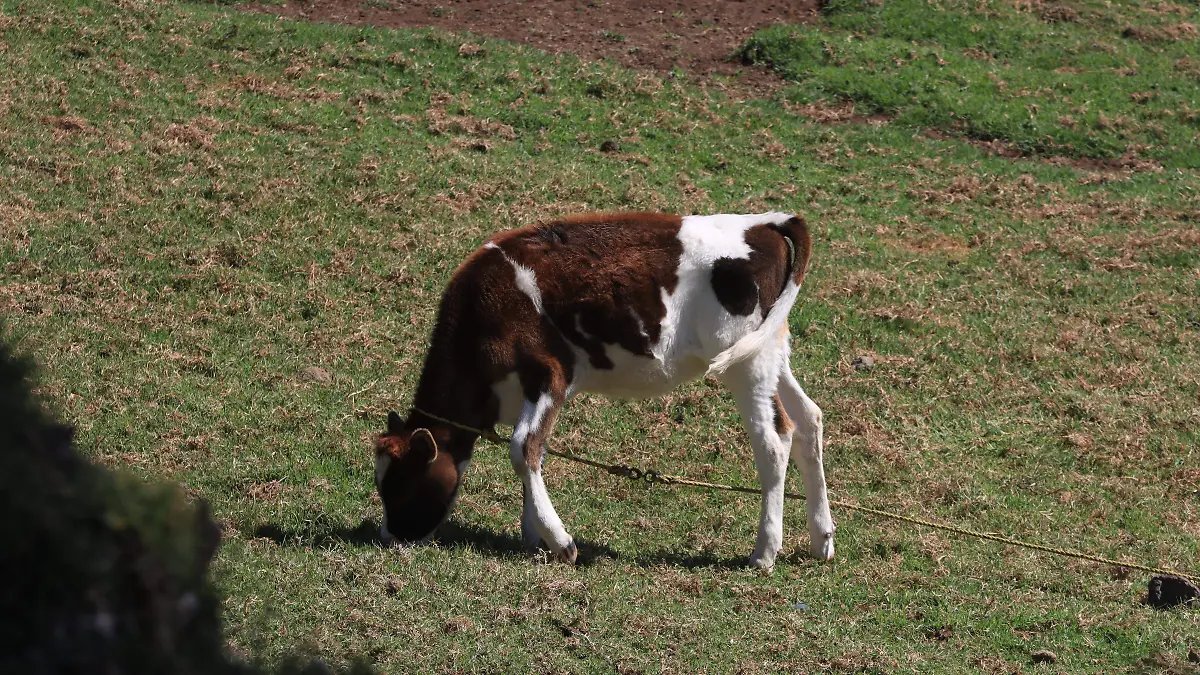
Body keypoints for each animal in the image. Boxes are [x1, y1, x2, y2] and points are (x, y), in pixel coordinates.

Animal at [374, 211, 834, 570]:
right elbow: (537, 450)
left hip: (744, 363)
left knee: (774, 440)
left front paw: (560, 542)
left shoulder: (550, 373)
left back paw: (764, 552)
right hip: (770, 350)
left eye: (400, 483)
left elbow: (523, 448)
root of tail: (763, 223)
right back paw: (821, 540)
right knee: (808, 419)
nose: (389, 537)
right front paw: (533, 537)